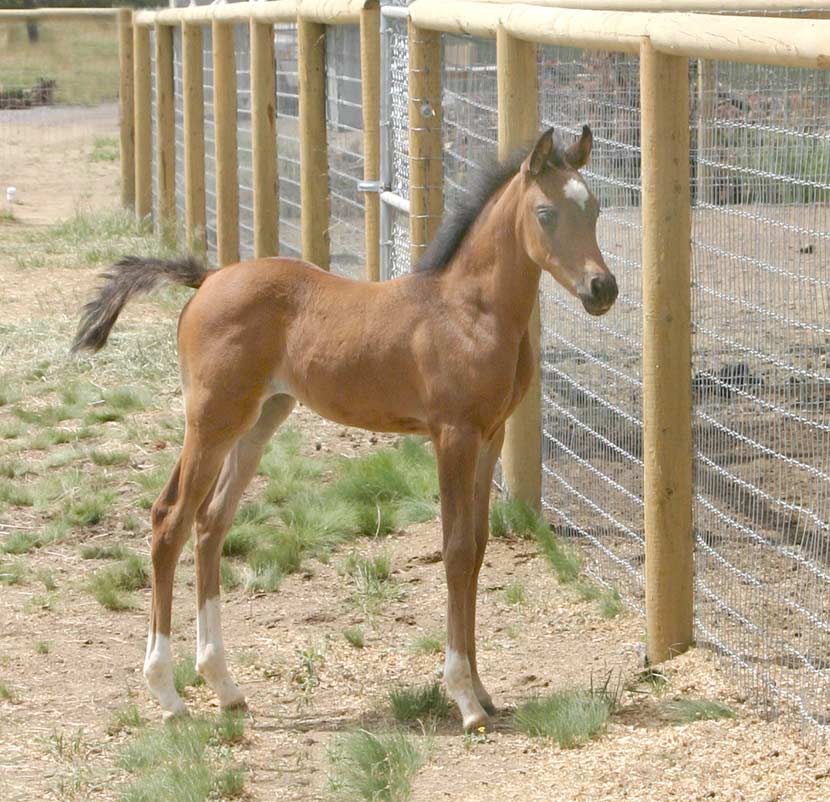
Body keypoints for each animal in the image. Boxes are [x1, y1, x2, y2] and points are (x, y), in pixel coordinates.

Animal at [75, 126, 616, 732]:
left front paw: (483, 689)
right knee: (170, 518)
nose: (602, 288)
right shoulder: (452, 435)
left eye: (594, 208)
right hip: (212, 421)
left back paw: (225, 686)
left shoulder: (490, 436)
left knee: (211, 523)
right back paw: (168, 694)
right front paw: (464, 698)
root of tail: (209, 278)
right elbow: (454, 550)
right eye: (546, 214)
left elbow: (477, 549)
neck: (470, 310)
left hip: (260, 420)